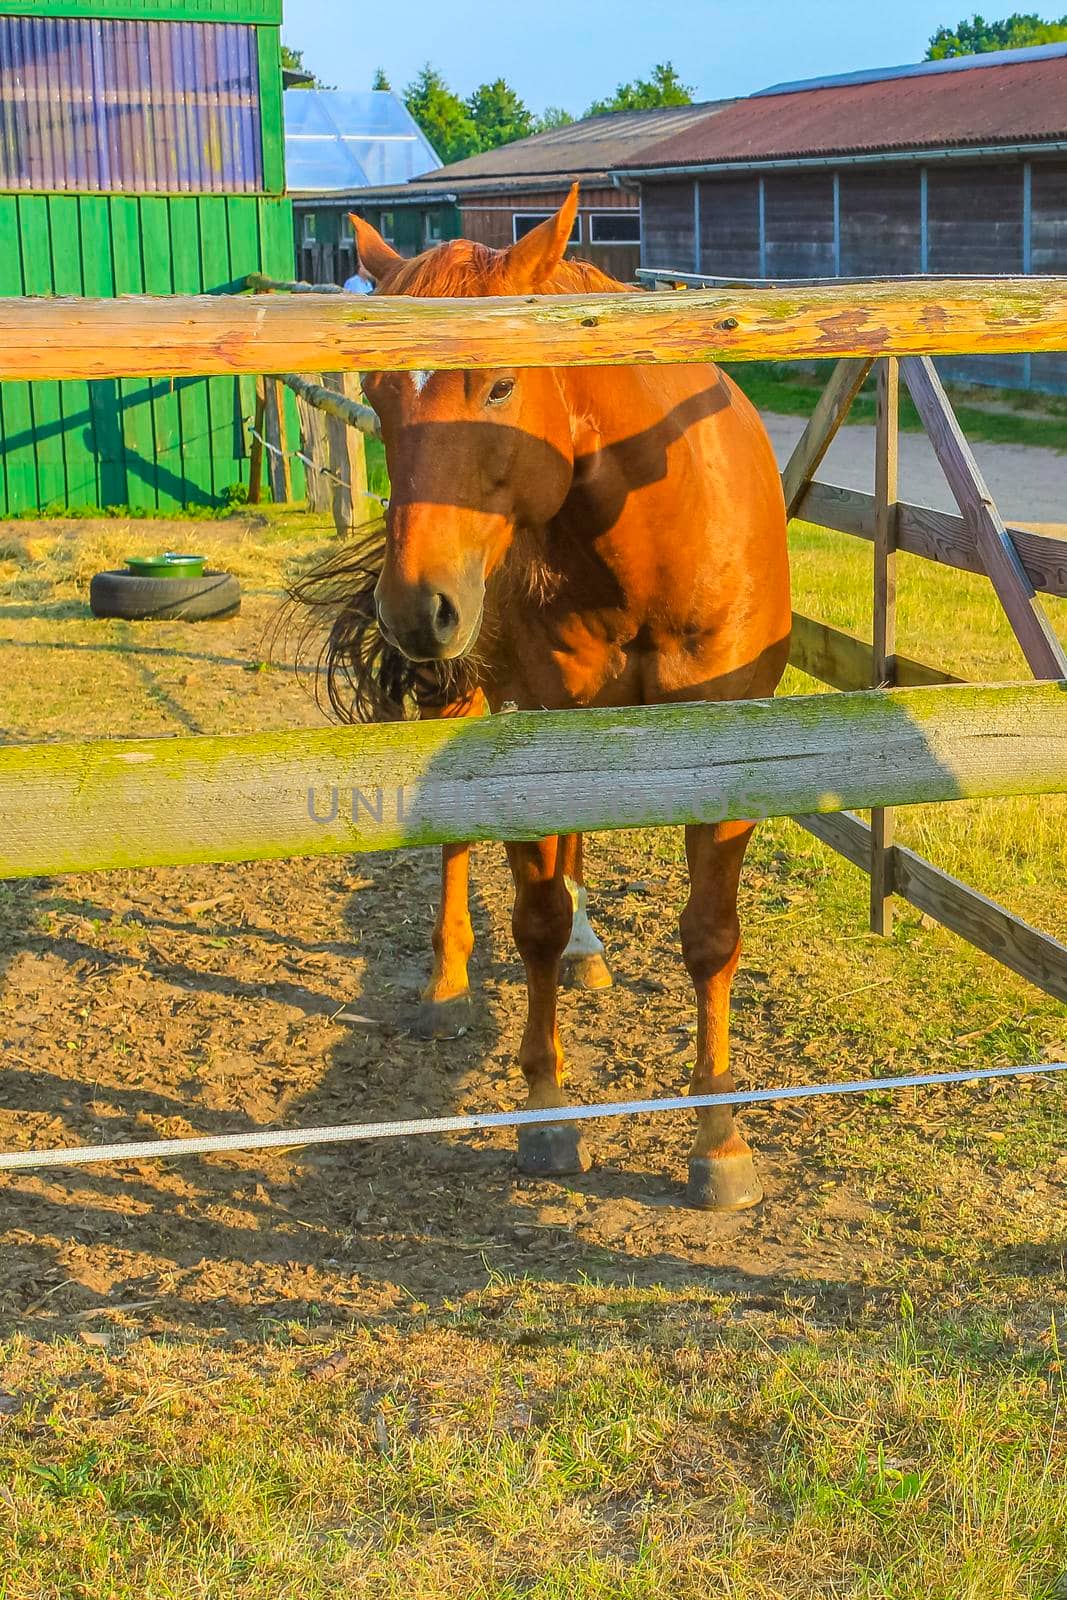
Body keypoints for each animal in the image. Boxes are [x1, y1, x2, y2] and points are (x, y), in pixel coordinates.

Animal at [334, 187, 793, 1203]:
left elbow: (711, 936)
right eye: (377, 394)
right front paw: (545, 1111)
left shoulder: (730, 750)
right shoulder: (533, 731)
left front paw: (719, 1140)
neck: (648, 541)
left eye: (499, 387)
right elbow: (533, 919)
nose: (416, 609)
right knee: (462, 847)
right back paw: (449, 984)